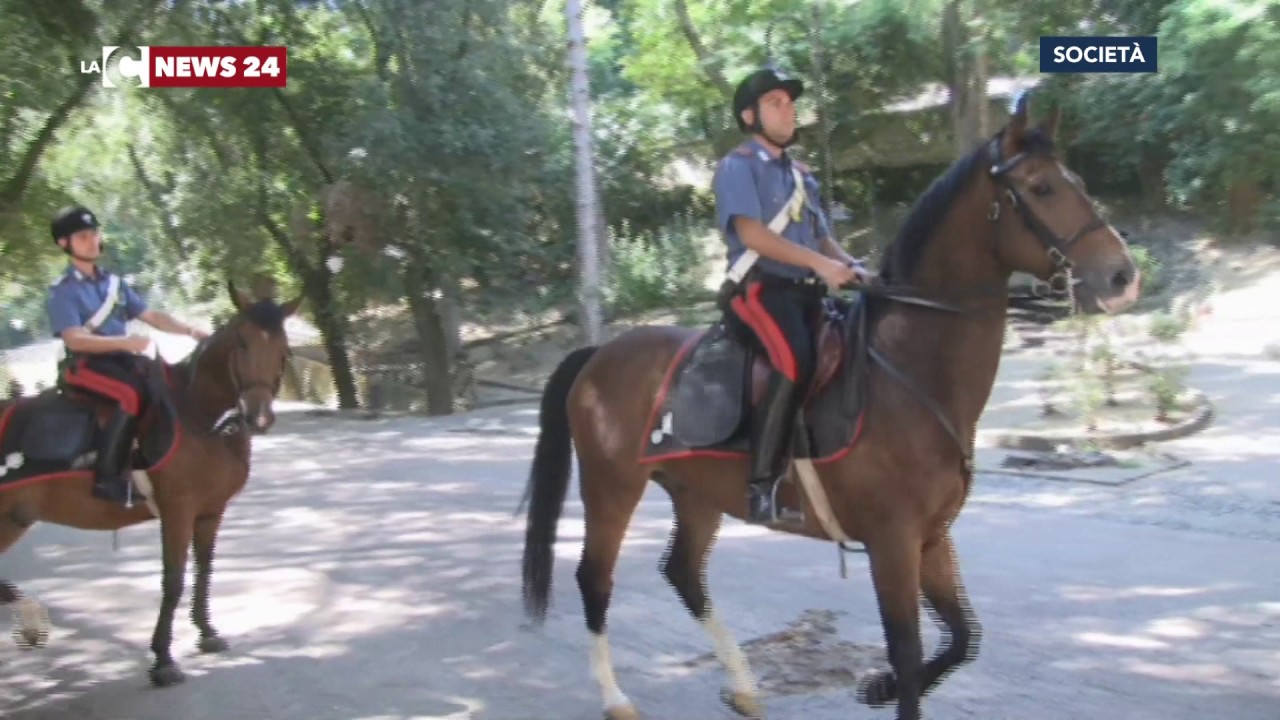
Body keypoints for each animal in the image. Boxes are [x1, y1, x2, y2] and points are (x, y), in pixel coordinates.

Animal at [0, 281, 300, 688]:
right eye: (241, 341)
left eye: (283, 345)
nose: (260, 416)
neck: (198, 415)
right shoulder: (177, 510)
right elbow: (173, 580)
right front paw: (163, 659)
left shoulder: (210, 512)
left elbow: (204, 569)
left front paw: (206, 632)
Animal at [519, 96, 1141, 720]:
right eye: (1040, 188)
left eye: (1076, 182)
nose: (1123, 275)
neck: (909, 369)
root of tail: (601, 354)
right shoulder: (892, 543)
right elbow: (909, 650)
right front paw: (891, 683)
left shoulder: (931, 537)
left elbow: (964, 636)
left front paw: (878, 686)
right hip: (611, 487)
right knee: (594, 578)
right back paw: (616, 697)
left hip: (696, 495)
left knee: (684, 574)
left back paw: (743, 686)